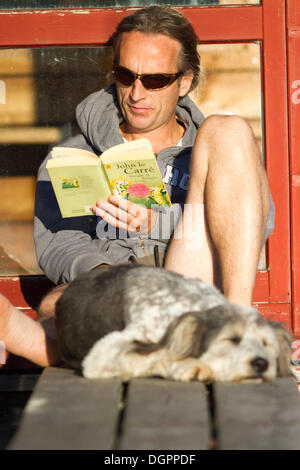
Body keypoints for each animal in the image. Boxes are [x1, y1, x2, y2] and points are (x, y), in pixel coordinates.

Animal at [52, 264, 292, 382]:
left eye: (266, 343)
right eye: (233, 339)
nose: (261, 363)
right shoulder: (102, 355)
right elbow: (157, 356)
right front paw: (191, 366)